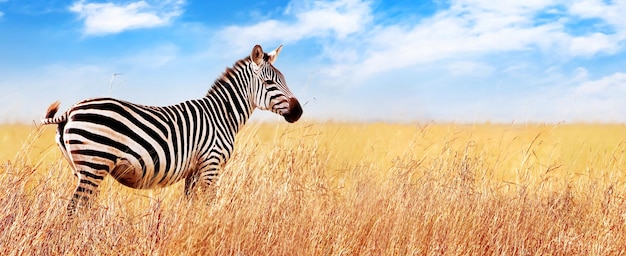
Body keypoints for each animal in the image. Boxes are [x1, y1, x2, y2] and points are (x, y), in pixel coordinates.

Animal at [40, 44, 302, 214]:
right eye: (270, 83)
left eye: (285, 80)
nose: (298, 112)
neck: (222, 115)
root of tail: (71, 110)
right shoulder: (211, 165)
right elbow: (207, 206)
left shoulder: (195, 170)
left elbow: (190, 207)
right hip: (94, 164)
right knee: (73, 209)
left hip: (83, 168)